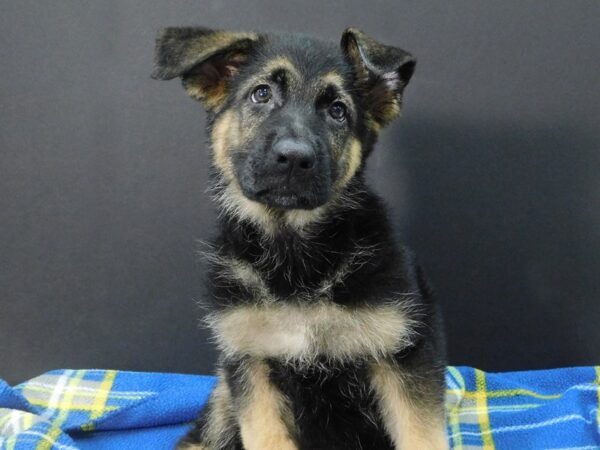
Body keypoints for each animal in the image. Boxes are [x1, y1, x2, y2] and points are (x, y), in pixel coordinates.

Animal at [152, 25, 448, 450]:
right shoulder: (251, 363)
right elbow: (266, 434)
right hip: (224, 395)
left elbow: (421, 434)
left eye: (337, 110)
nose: (293, 158)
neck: (293, 249)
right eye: (261, 94)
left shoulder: (404, 353)